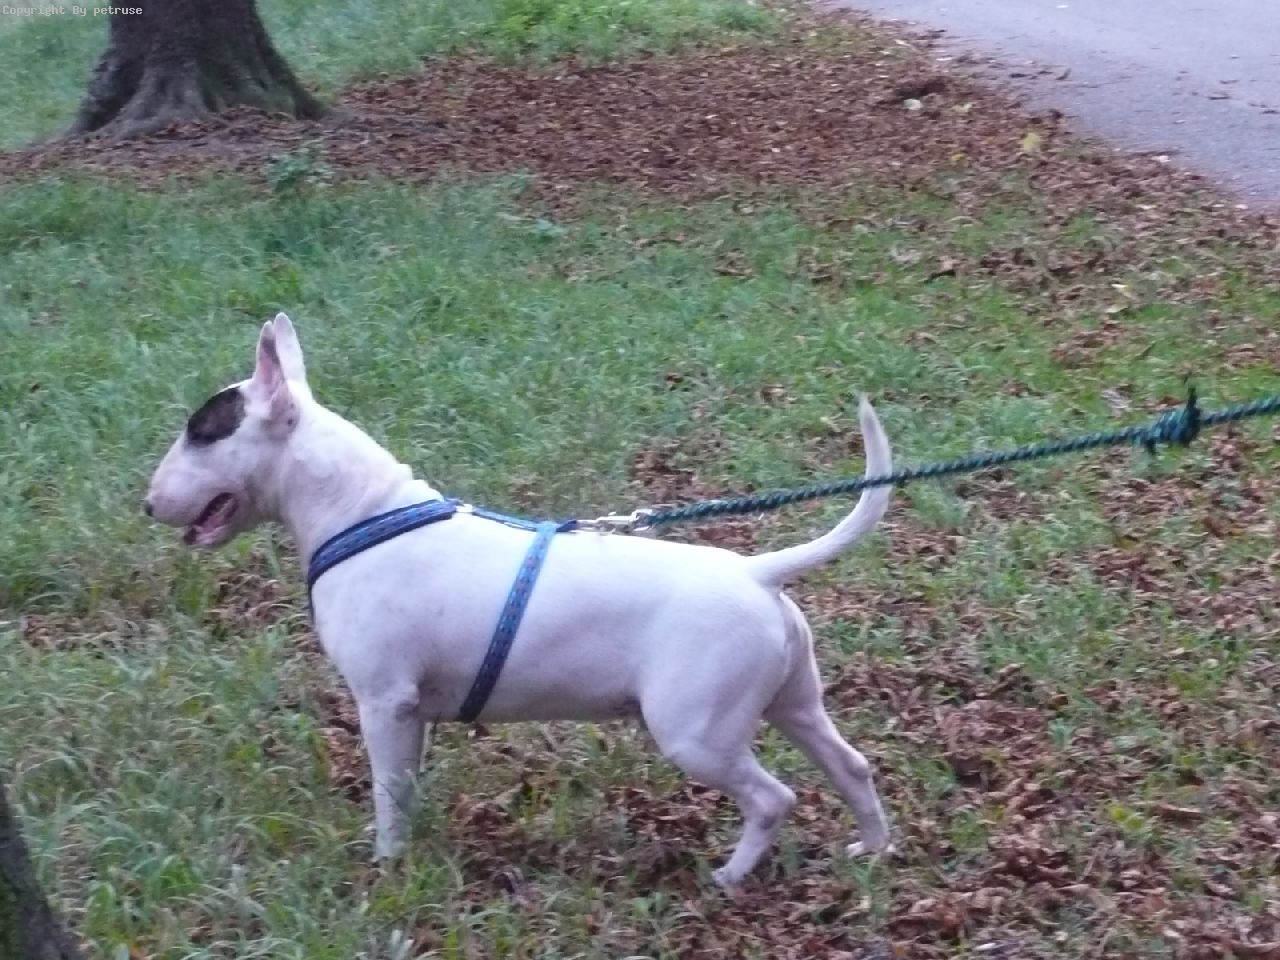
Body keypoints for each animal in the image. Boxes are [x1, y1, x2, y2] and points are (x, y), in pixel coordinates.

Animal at [145, 313, 895, 886]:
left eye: (200, 431)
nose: (148, 505)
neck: (361, 512)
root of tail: (756, 573)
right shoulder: (411, 711)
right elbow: (405, 786)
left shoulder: (384, 701)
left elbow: (388, 792)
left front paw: (386, 864)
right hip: (792, 702)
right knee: (851, 765)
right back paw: (873, 849)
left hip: (696, 732)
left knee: (773, 797)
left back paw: (731, 875)